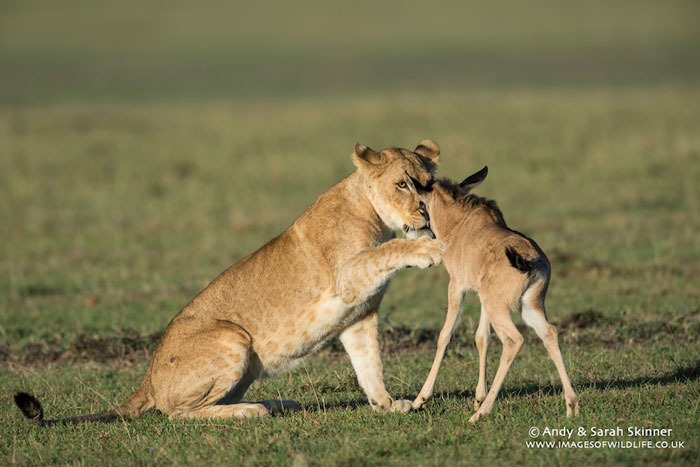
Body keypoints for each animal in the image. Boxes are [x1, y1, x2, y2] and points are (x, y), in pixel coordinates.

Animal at [13, 138, 442, 424]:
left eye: (430, 184)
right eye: (403, 184)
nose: (426, 213)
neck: (375, 216)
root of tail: (148, 379)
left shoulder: (359, 315)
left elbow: (370, 364)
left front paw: (386, 404)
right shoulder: (346, 276)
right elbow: (389, 251)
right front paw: (429, 249)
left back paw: (275, 404)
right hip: (232, 338)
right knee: (177, 413)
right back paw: (253, 410)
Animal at [408, 168, 576, 424]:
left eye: (421, 204)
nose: (412, 228)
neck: (459, 225)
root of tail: (530, 261)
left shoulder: (456, 287)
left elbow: (445, 336)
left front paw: (420, 399)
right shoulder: (482, 297)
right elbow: (482, 338)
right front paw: (478, 397)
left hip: (500, 309)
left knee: (514, 340)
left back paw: (481, 413)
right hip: (528, 307)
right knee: (549, 332)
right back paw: (571, 406)